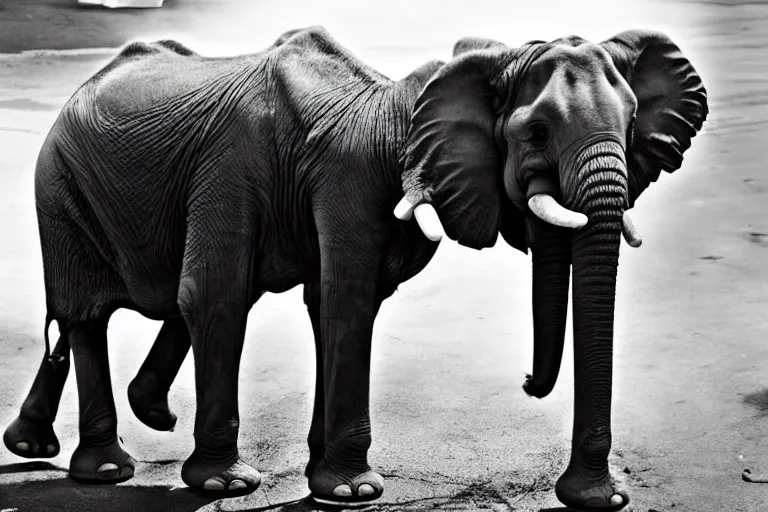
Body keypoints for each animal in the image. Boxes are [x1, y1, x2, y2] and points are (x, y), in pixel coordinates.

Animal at [1, 26, 708, 510]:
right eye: (534, 134)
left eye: (633, 124)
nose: (531, 383)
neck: (402, 104)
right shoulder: (285, 176)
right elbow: (298, 298)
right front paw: (336, 492)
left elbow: (327, 302)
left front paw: (327, 480)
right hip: (57, 187)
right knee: (90, 314)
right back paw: (107, 470)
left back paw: (93, 431)